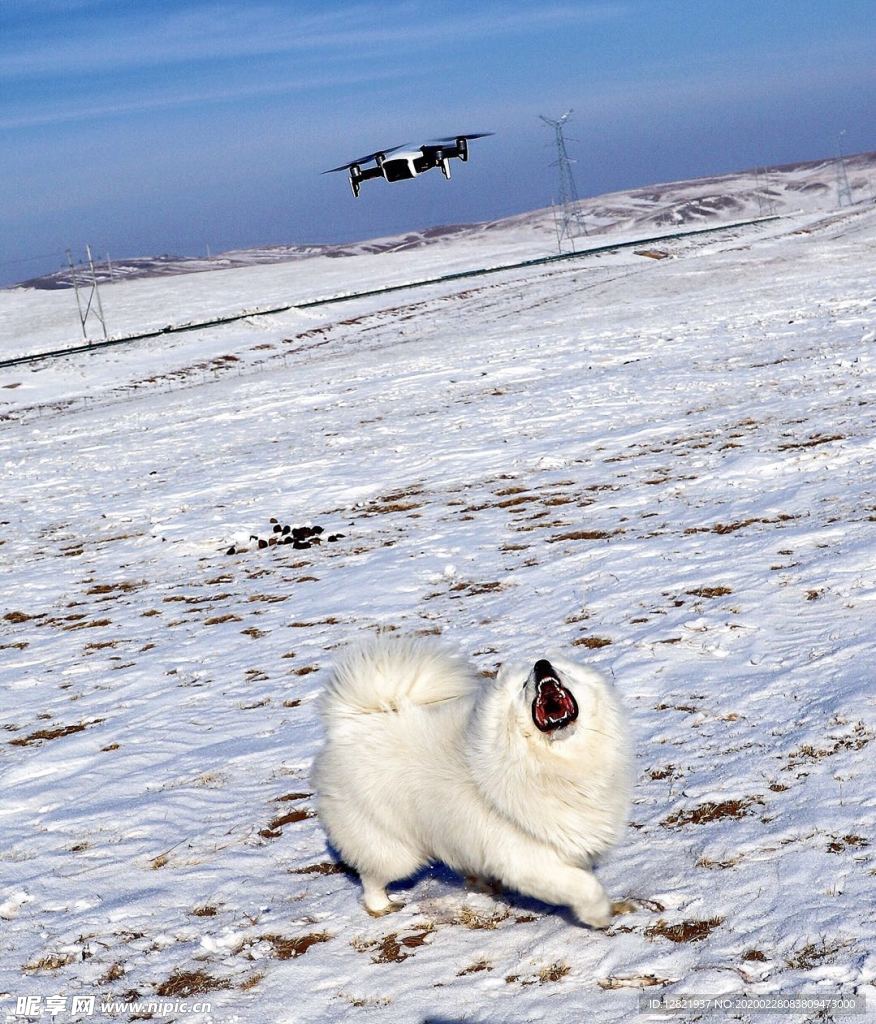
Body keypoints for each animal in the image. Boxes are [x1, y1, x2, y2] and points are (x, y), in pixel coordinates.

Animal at [311, 634, 635, 925]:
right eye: (523, 686)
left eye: (561, 671)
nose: (541, 666)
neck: (554, 764)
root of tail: (349, 725)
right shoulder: (527, 859)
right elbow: (586, 886)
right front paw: (598, 915)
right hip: (396, 851)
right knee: (371, 878)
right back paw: (381, 906)